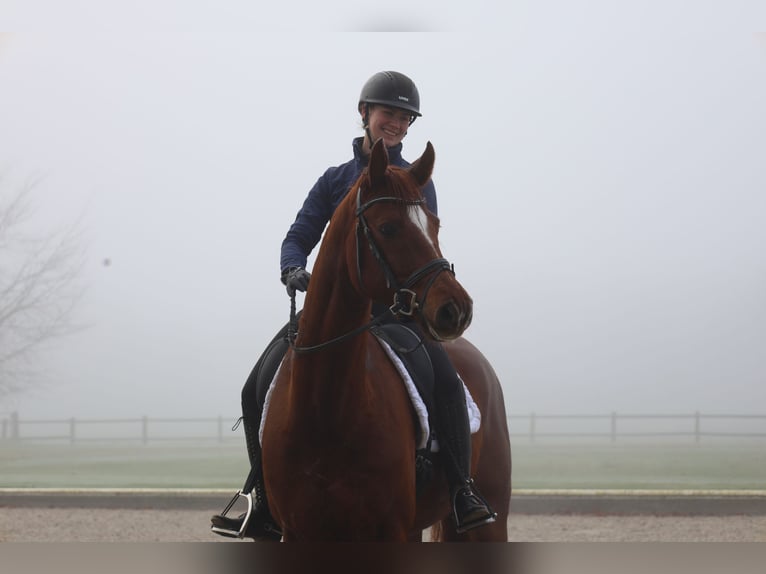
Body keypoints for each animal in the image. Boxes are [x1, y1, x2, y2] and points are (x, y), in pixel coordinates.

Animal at [260, 141, 512, 544]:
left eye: (434, 224)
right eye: (388, 227)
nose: (456, 309)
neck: (326, 409)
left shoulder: (389, 531)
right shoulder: (300, 531)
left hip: (490, 516)